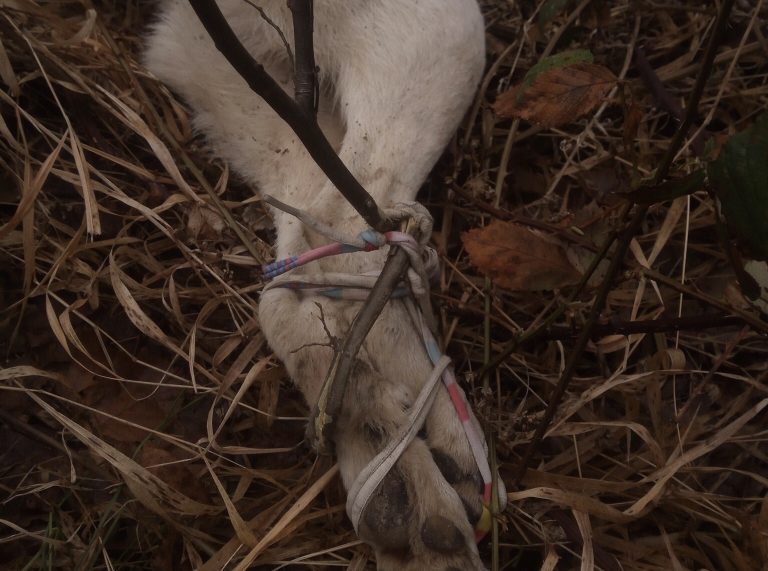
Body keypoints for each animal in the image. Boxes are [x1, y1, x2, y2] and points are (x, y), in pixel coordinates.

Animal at [146, 2, 498, 568]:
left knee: (302, 253)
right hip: (438, 31)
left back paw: (392, 467)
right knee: (347, 225)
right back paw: (419, 476)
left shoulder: (188, 44)